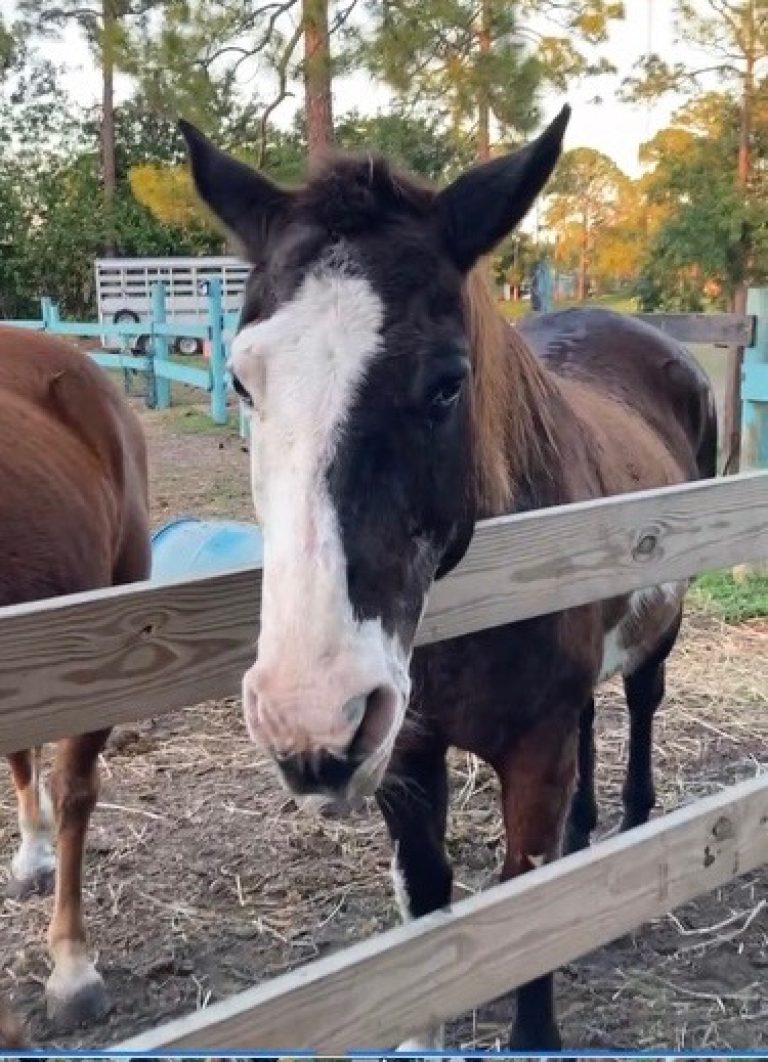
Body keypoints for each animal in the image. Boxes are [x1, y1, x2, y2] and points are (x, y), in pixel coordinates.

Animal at [183, 103, 718, 1049]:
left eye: (444, 385)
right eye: (244, 384)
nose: (308, 718)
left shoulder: (533, 755)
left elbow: (526, 907)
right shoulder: (405, 753)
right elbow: (428, 906)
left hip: (662, 630)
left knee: (641, 705)